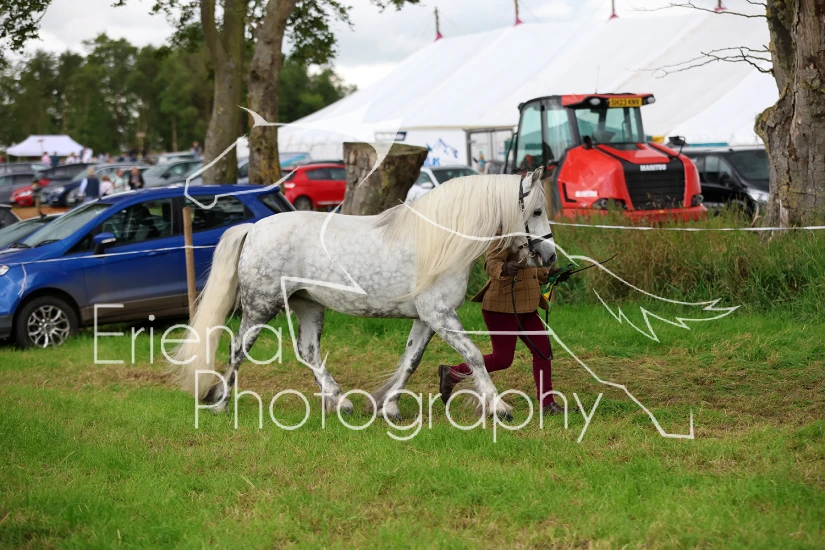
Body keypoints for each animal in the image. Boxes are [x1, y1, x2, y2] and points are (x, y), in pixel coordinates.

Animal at [171, 168, 557, 419]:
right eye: (536, 210)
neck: (440, 242)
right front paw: (500, 407)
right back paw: (221, 404)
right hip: (260, 307)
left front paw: (389, 407)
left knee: (308, 352)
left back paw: (341, 403)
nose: (550, 257)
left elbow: (411, 360)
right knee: (238, 349)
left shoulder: (427, 319)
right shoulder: (440, 315)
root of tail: (253, 228)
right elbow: (475, 355)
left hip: (308, 306)